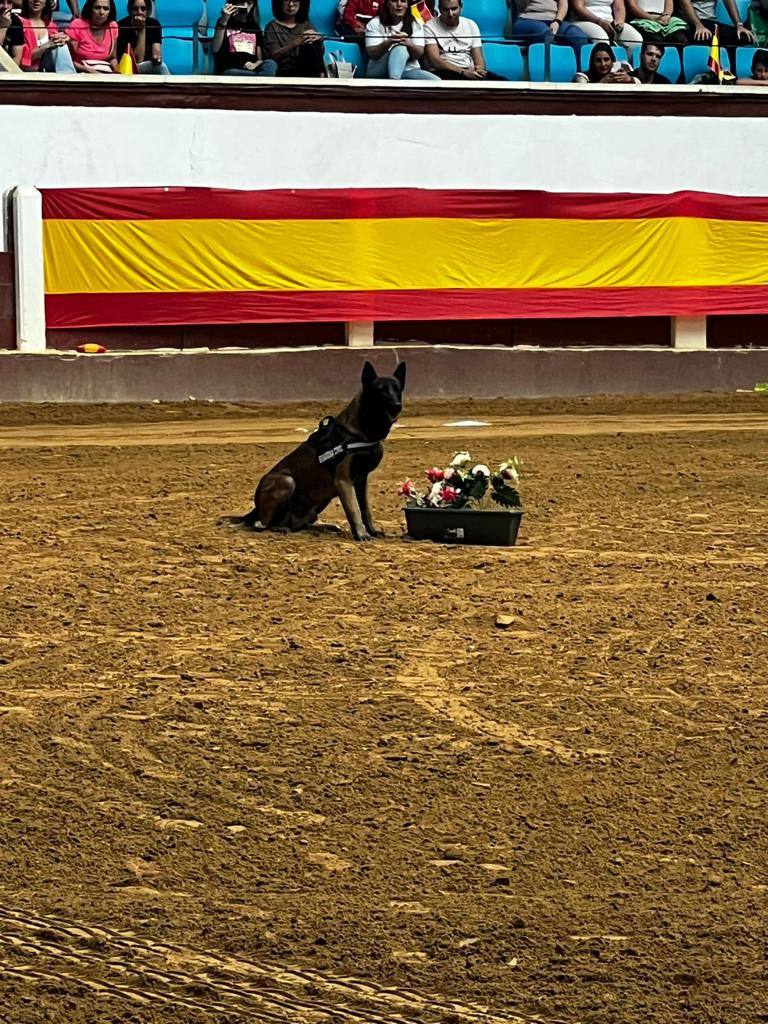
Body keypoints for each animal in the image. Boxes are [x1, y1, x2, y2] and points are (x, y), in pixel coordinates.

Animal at [219, 360, 405, 540]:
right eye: (380, 390)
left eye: (397, 389)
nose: (397, 406)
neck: (362, 433)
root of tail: (254, 510)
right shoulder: (344, 481)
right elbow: (354, 510)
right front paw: (361, 534)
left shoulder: (361, 481)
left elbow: (366, 510)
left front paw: (372, 531)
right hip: (287, 481)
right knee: (261, 524)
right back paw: (280, 528)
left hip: (318, 503)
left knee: (298, 525)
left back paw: (325, 527)